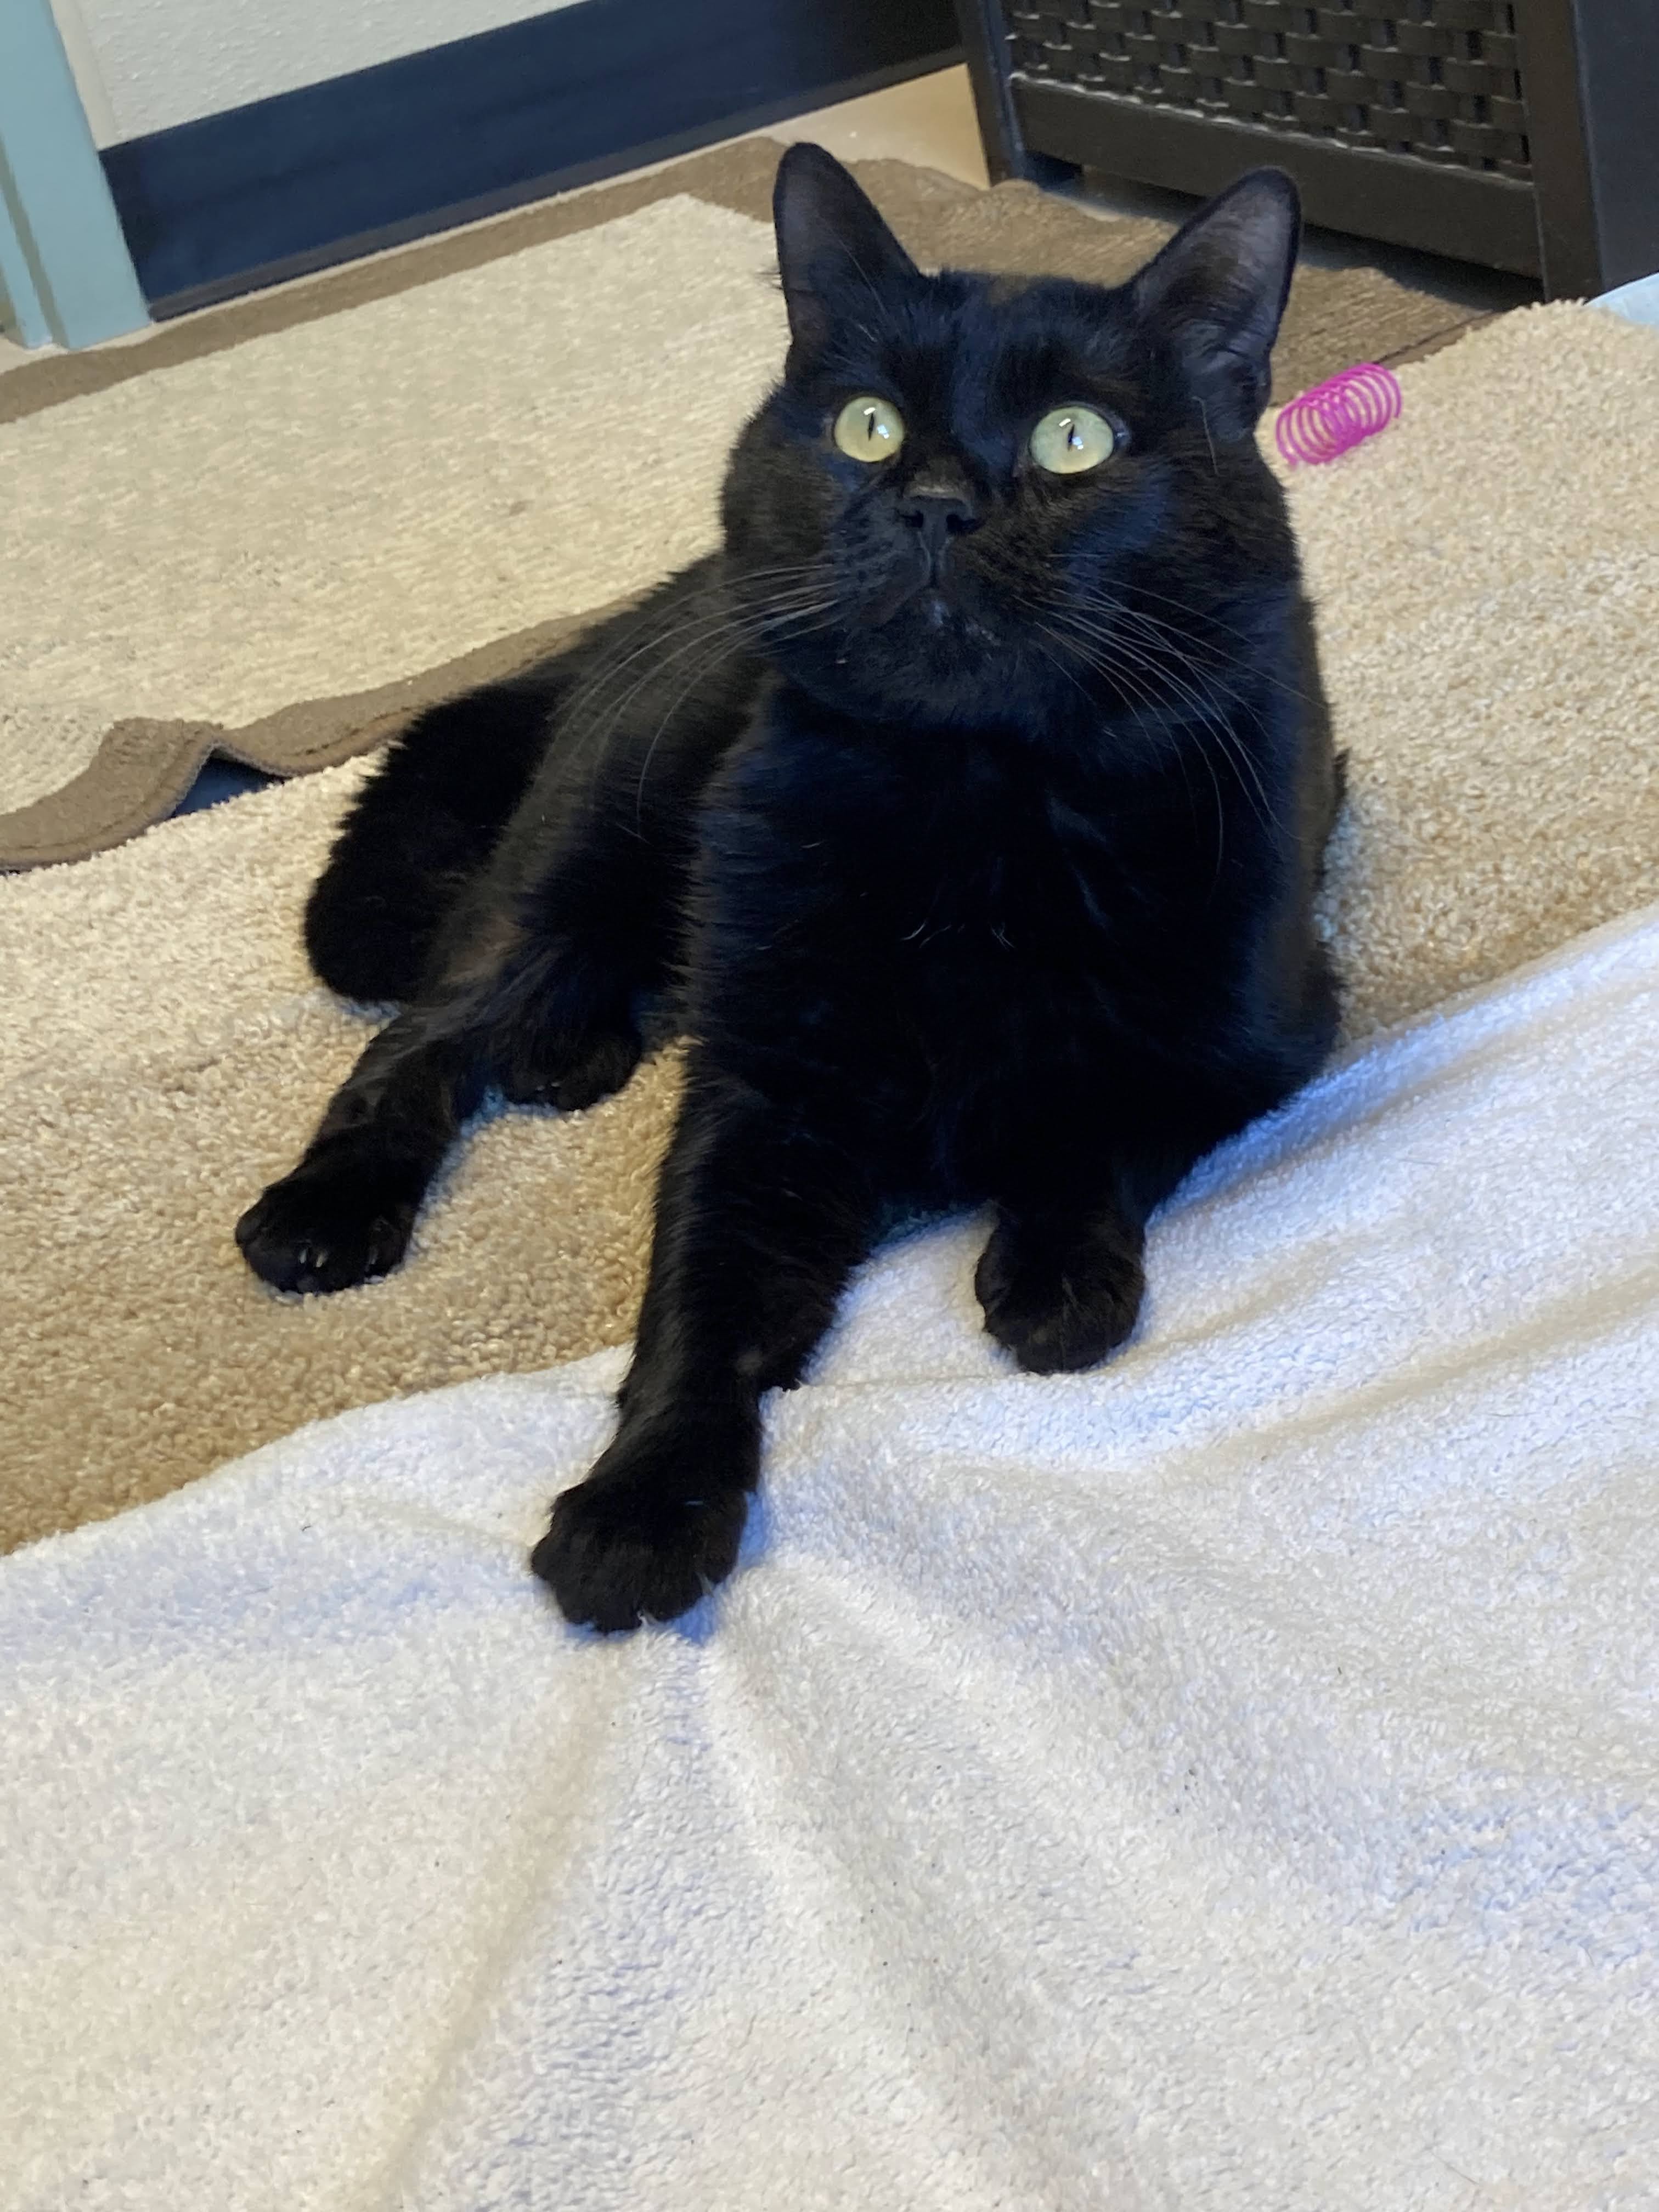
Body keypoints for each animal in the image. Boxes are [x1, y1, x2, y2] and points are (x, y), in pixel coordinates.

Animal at [236, 138, 1353, 1628]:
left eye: (1077, 440)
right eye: (868, 426)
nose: (934, 503)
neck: (976, 817)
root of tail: (644, 605)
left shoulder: (1254, 1036)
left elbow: (1101, 1116)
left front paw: (1054, 1274)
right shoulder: (766, 1096)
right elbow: (701, 1311)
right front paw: (640, 1509)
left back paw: (570, 1055)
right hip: (573, 853)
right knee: (421, 1035)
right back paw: (332, 1206)